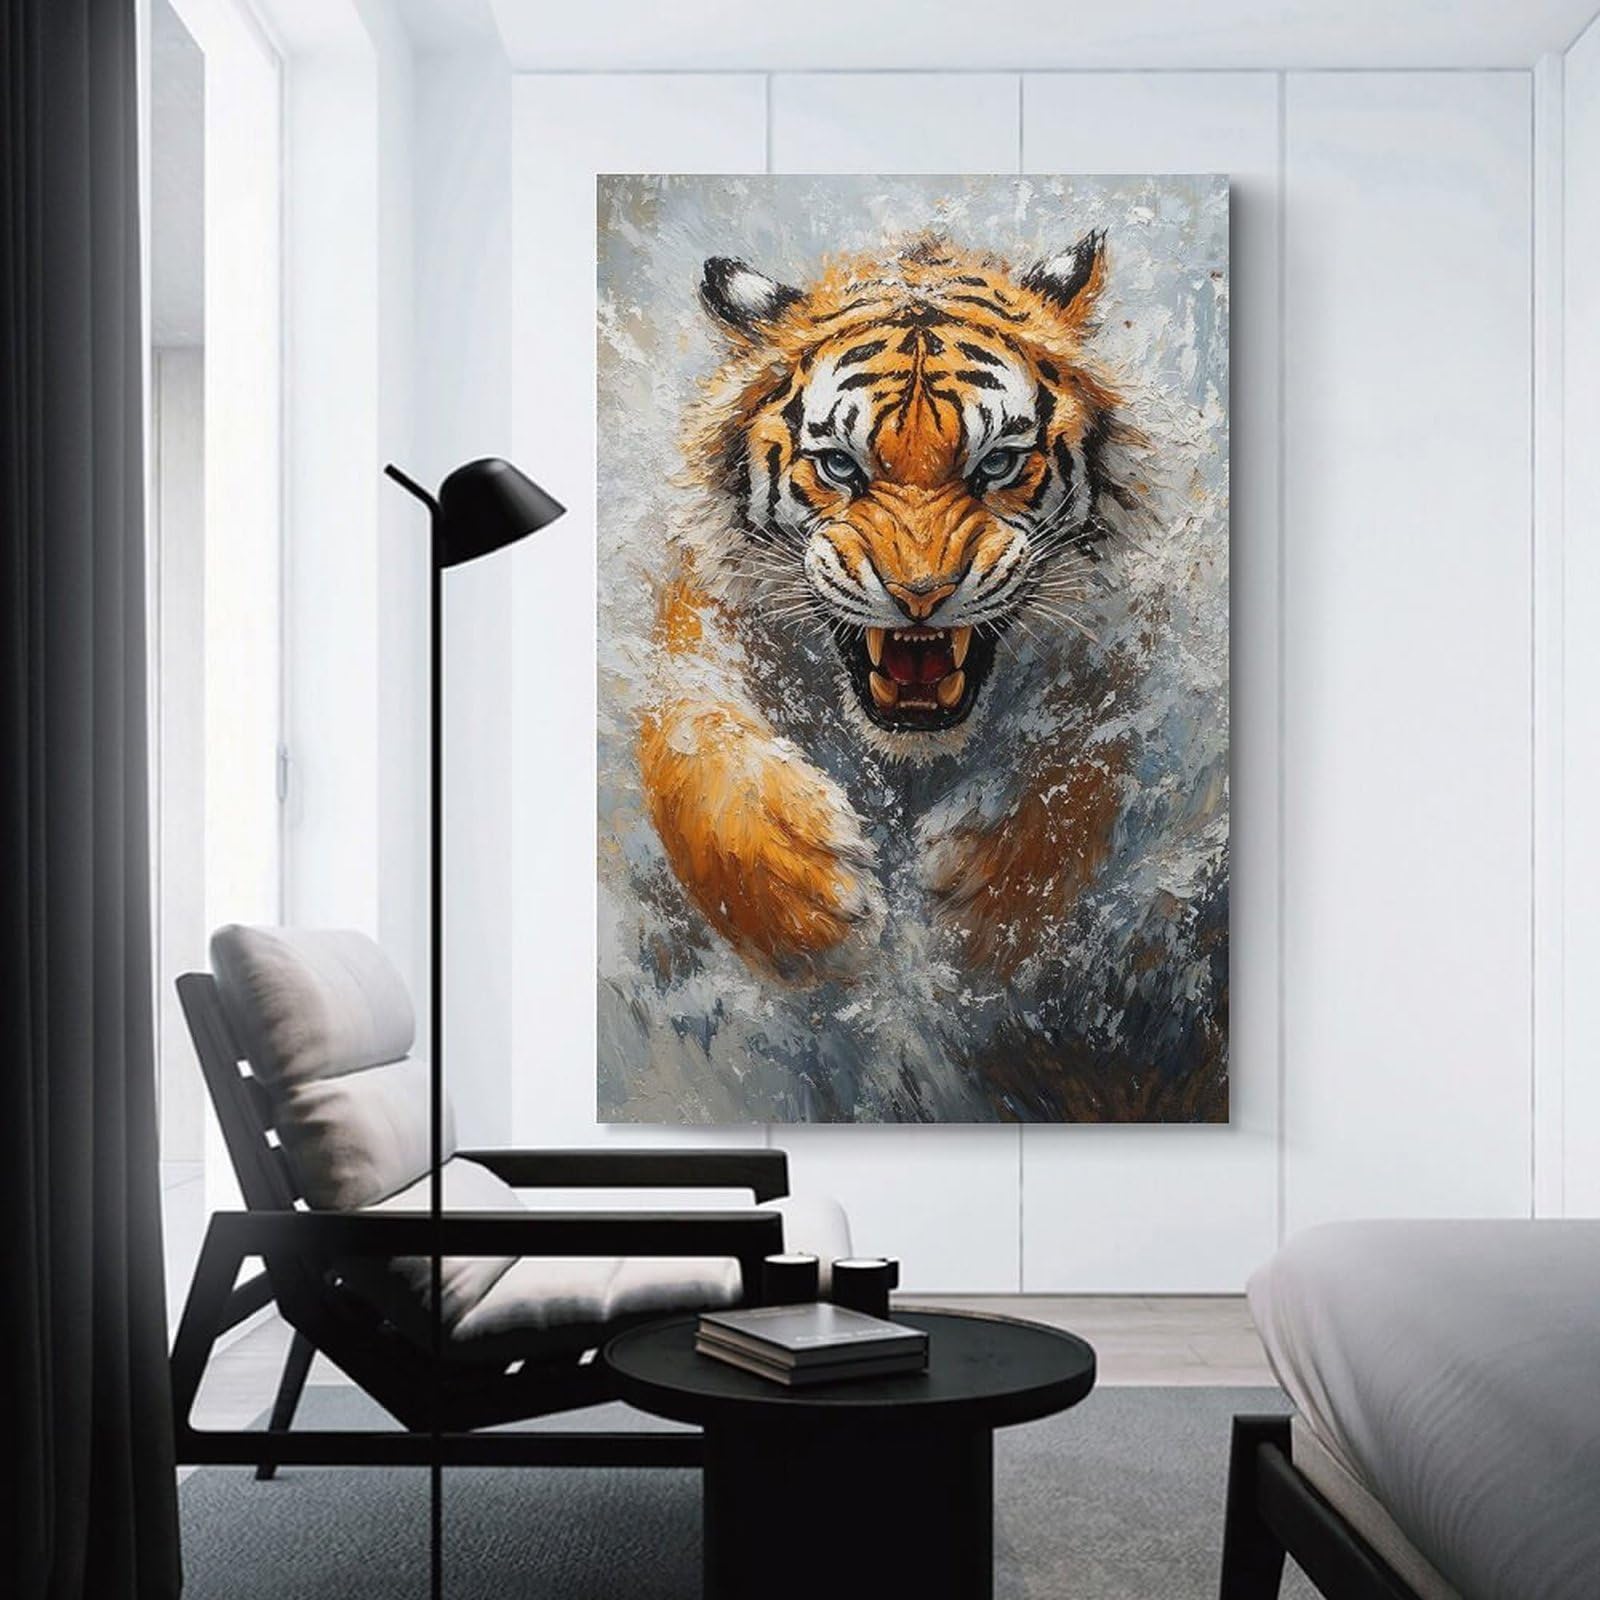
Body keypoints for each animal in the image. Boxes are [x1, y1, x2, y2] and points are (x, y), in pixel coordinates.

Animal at [638, 231, 1149, 982]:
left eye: (996, 464)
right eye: (839, 467)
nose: (920, 594)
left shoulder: (1115, 643)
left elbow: (1089, 752)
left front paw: (990, 893)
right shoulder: (698, 626)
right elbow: (691, 737)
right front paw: (803, 905)